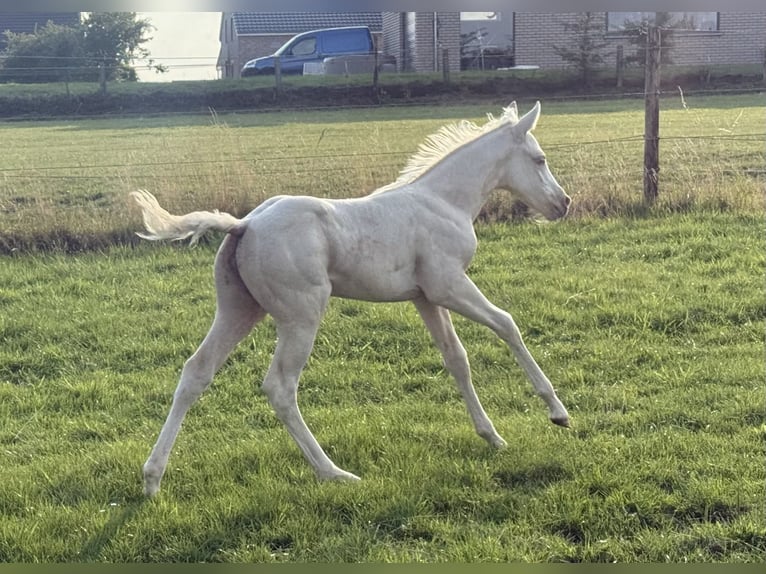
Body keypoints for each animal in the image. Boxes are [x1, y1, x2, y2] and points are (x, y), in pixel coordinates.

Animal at [131, 101, 571, 497]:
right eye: (539, 159)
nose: (563, 203)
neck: (444, 202)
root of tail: (246, 224)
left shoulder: (425, 298)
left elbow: (456, 359)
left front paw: (491, 436)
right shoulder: (449, 285)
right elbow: (507, 324)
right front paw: (558, 413)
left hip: (239, 310)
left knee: (196, 372)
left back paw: (152, 479)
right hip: (301, 316)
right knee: (280, 387)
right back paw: (333, 473)